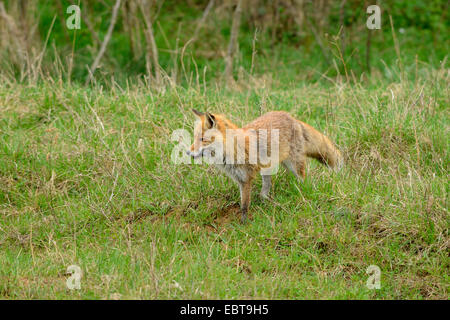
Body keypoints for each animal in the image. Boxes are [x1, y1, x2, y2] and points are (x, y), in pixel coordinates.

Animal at [185, 110, 342, 222]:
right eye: (194, 138)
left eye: (202, 139)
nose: (187, 152)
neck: (232, 149)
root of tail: (291, 117)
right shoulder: (240, 180)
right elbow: (243, 203)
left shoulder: (246, 178)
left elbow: (244, 205)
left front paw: (243, 224)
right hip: (268, 168)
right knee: (267, 186)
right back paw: (265, 199)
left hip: (294, 165)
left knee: (303, 179)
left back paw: (301, 193)